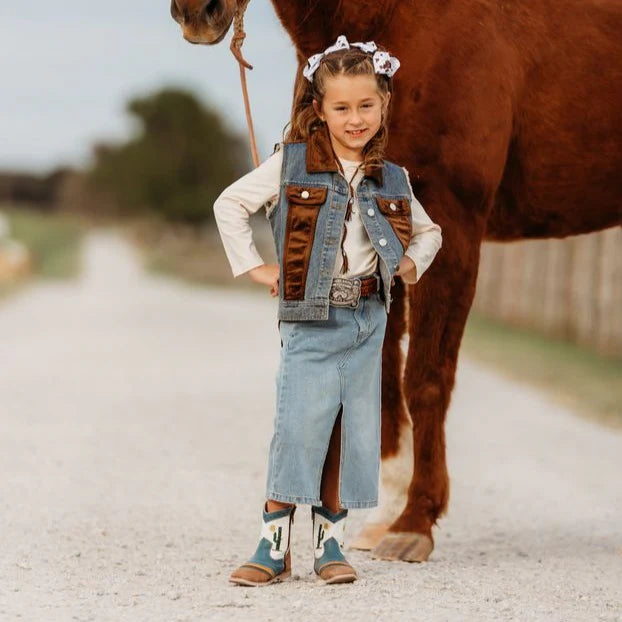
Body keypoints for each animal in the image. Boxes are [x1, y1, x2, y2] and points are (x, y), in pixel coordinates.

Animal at [171, 0, 622, 564]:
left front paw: (414, 522)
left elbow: (426, 378)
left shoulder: (451, 227)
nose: (193, 14)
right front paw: (383, 514)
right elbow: (384, 380)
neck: (403, 17)